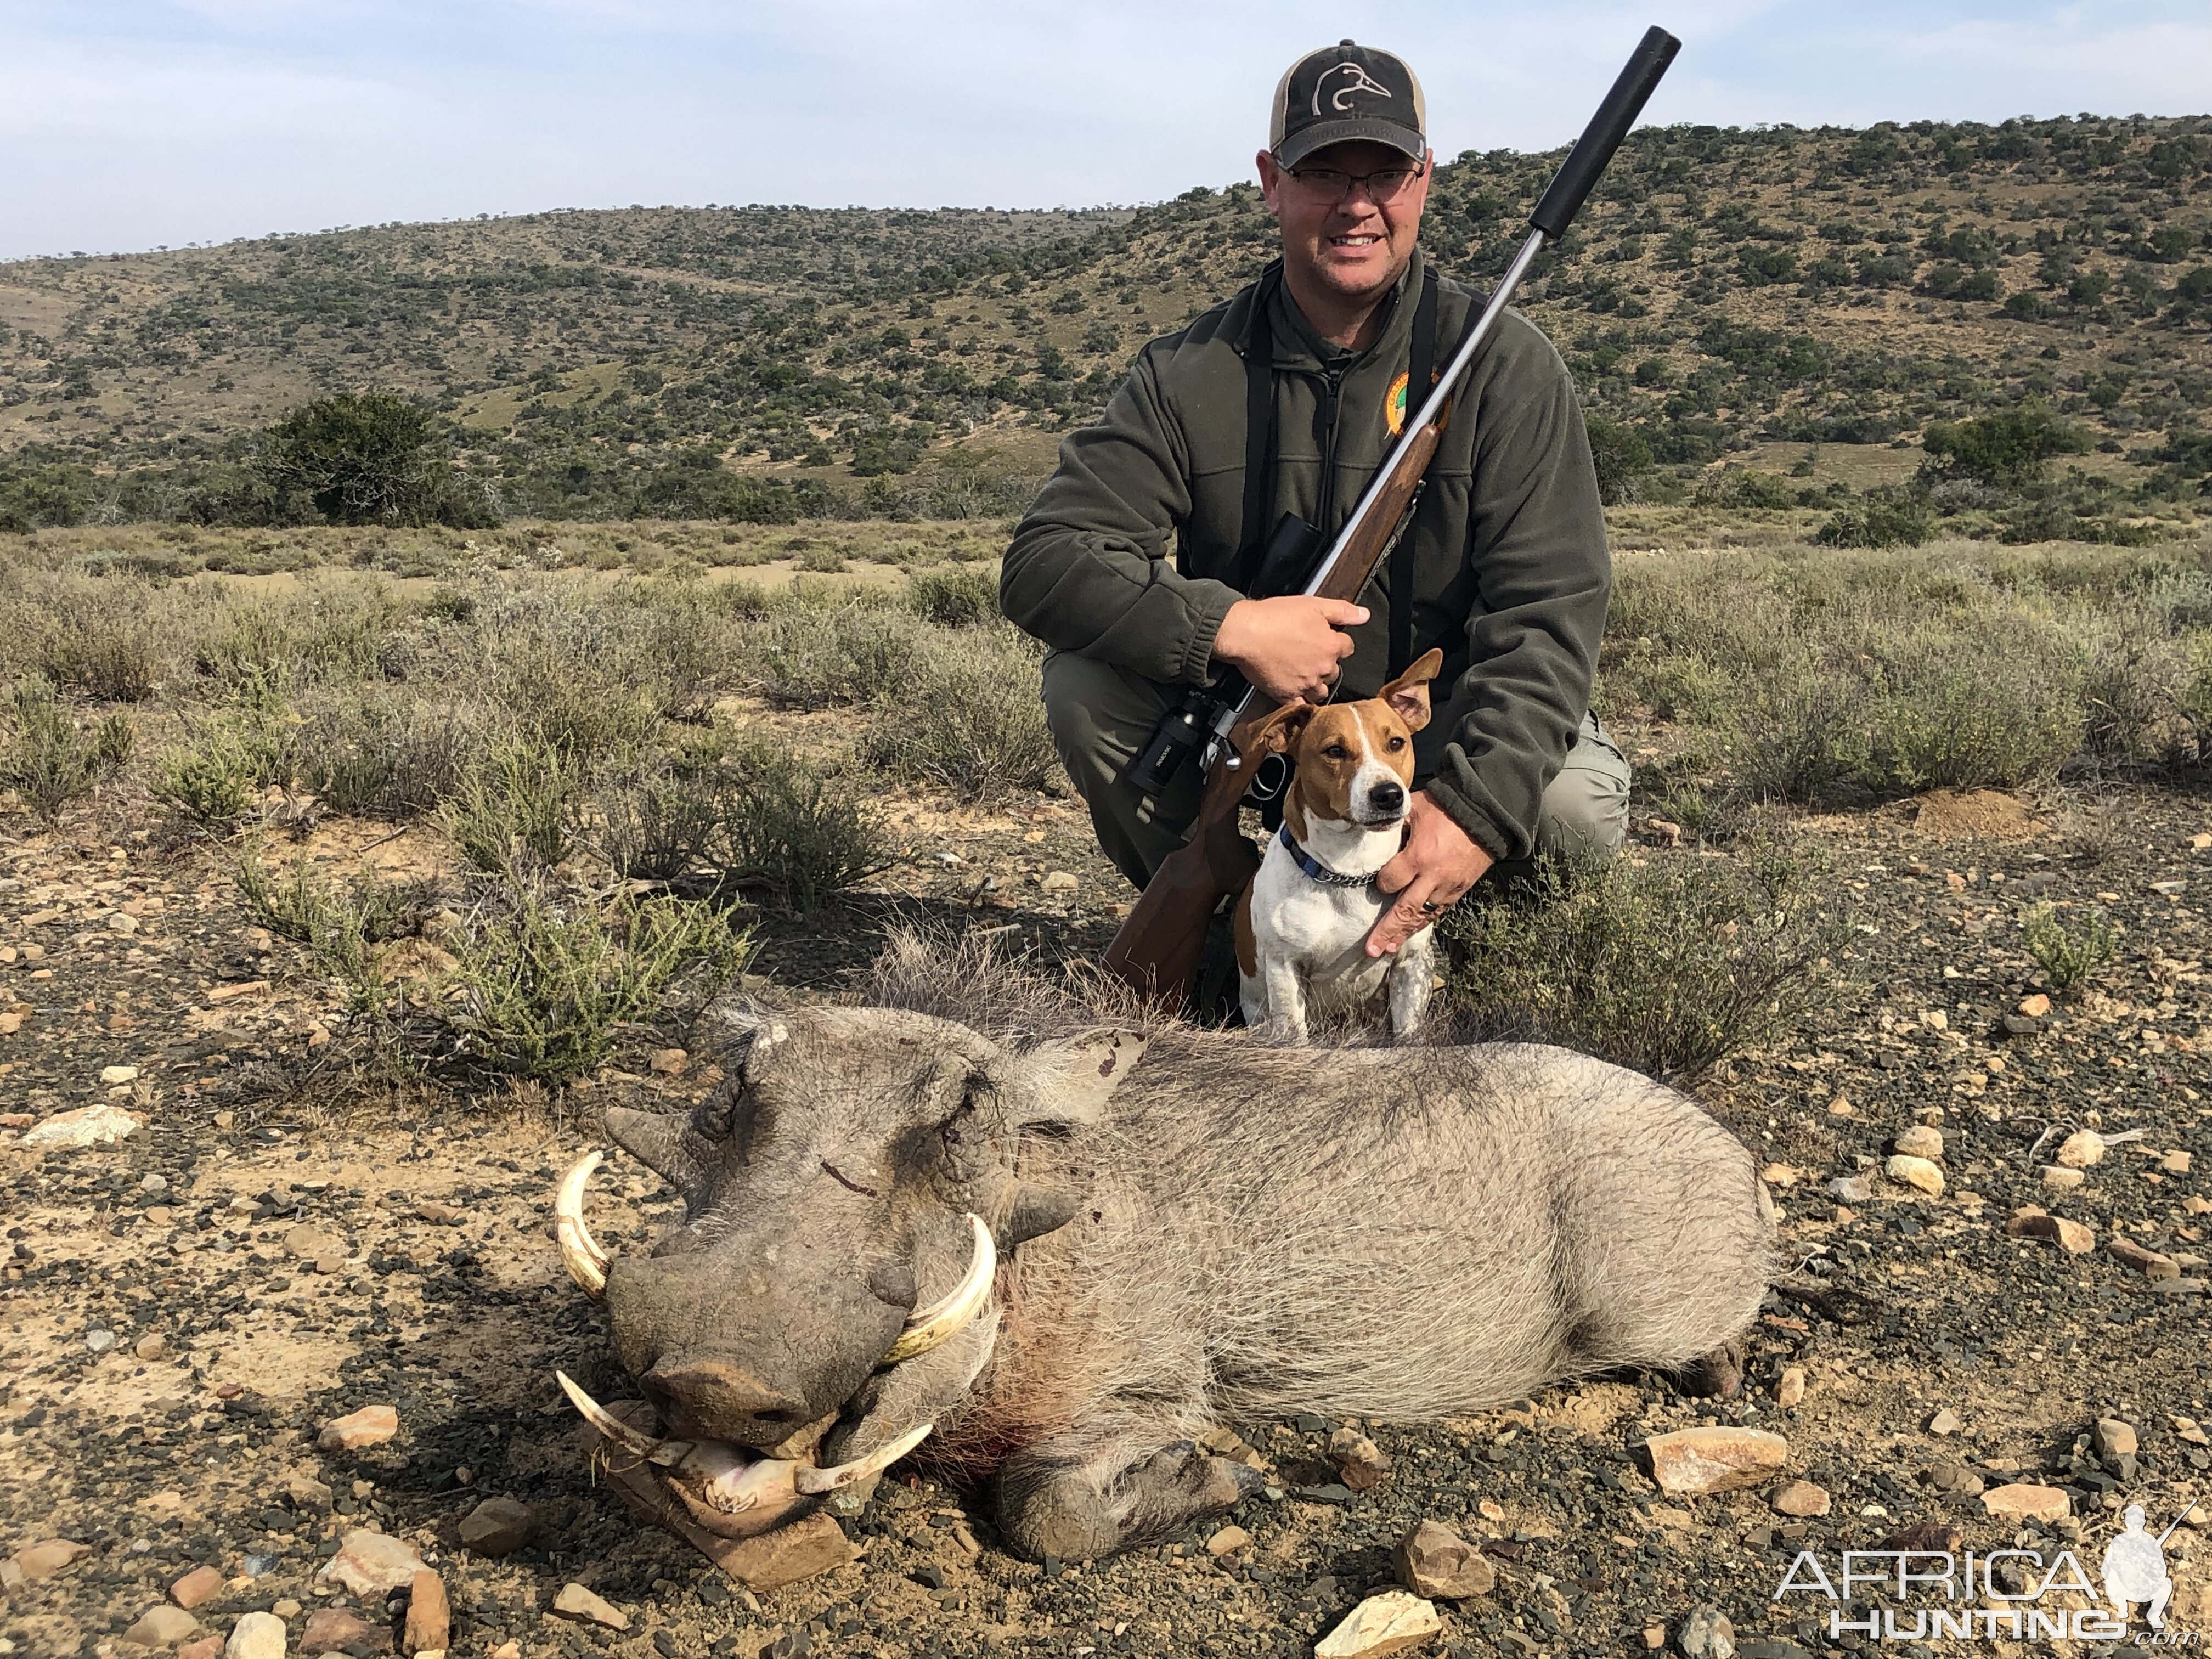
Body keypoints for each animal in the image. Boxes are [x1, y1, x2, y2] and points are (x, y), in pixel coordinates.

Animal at [1238, 646, 1442, 1040]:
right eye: (1334, 751)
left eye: (1396, 743)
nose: (1388, 795)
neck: (1351, 872)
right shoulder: (1285, 968)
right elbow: (1295, 1034)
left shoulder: (1412, 963)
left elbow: (1408, 1034)